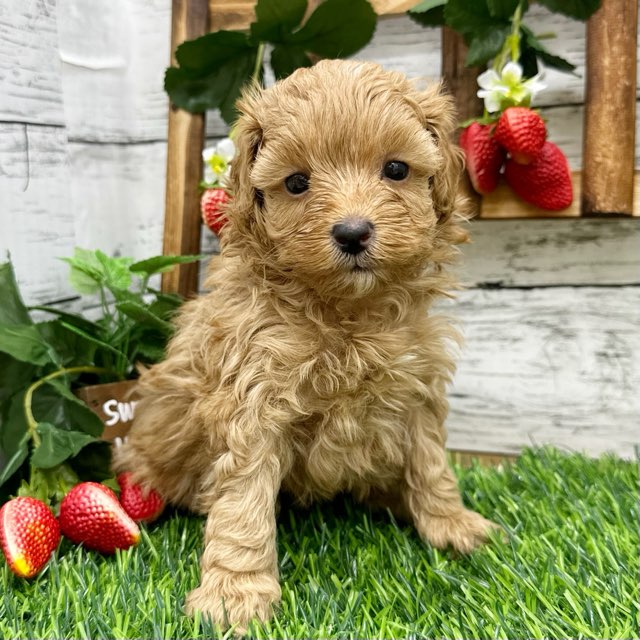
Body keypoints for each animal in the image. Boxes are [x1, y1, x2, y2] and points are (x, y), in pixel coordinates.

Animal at [112, 58, 498, 632]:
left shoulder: (417, 382)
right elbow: (244, 504)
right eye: (297, 183)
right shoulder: (253, 396)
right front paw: (235, 595)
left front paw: (450, 523)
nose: (353, 232)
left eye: (396, 169)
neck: (347, 313)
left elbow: (430, 461)